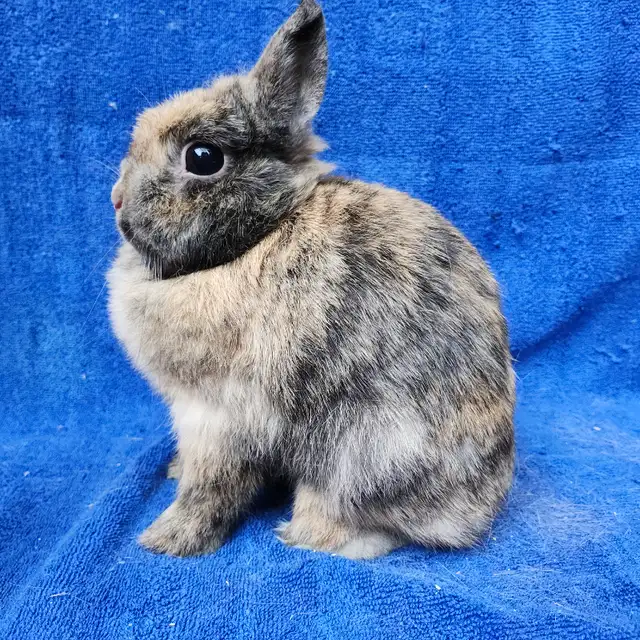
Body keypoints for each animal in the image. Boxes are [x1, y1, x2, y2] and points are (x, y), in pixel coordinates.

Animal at [107, 0, 515, 559]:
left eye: (202, 157)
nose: (116, 199)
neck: (258, 236)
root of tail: (476, 514)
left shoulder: (217, 417)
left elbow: (210, 485)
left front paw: (165, 541)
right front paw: (171, 476)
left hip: (361, 453)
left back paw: (308, 535)